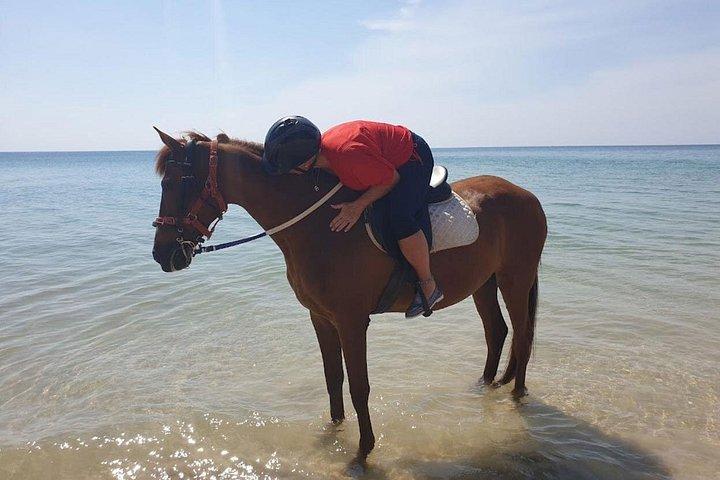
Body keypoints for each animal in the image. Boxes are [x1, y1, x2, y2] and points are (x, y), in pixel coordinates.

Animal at [151, 129, 547, 464]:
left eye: (177, 182)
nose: (162, 255)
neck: (317, 225)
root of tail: (526, 195)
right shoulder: (321, 318)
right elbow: (333, 378)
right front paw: (334, 430)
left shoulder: (352, 322)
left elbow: (359, 386)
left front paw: (363, 450)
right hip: (485, 283)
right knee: (498, 332)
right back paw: (486, 386)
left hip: (515, 279)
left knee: (523, 334)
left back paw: (516, 395)